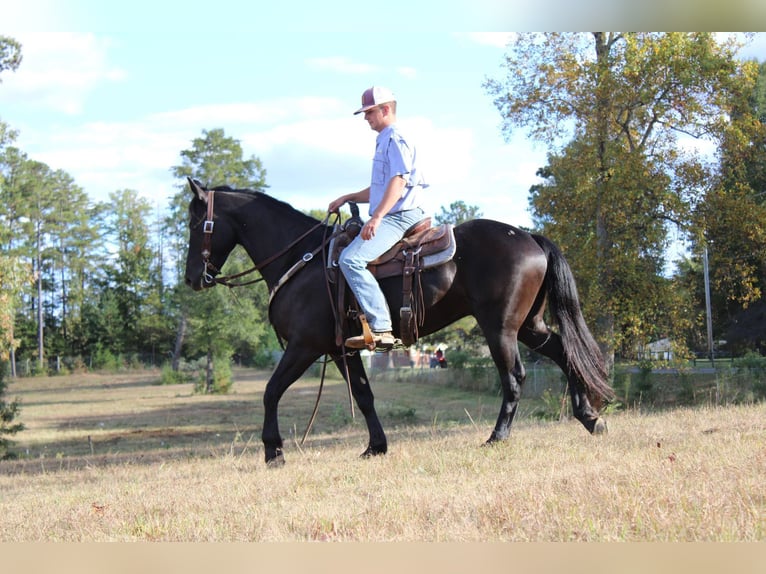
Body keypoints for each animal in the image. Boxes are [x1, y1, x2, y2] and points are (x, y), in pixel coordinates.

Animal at [183, 180, 616, 468]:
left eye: (194, 224)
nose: (191, 279)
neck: (303, 259)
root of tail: (527, 236)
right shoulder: (342, 350)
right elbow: (364, 395)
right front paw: (376, 446)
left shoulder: (304, 346)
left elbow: (271, 391)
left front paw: (273, 450)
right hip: (530, 326)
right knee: (565, 354)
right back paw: (589, 418)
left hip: (501, 329)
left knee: (514, 379)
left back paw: (497, 437)